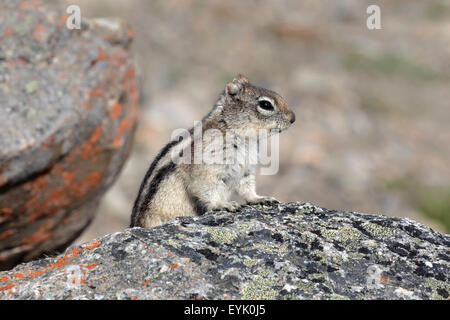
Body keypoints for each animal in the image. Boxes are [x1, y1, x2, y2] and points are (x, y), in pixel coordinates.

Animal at [131, 75, 296, 228]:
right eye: (266, 104)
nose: (293, 118)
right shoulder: (206, 168)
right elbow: (206, 188)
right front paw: (223, 204)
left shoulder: (245, 170)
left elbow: (247, 188)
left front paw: (260, 198)